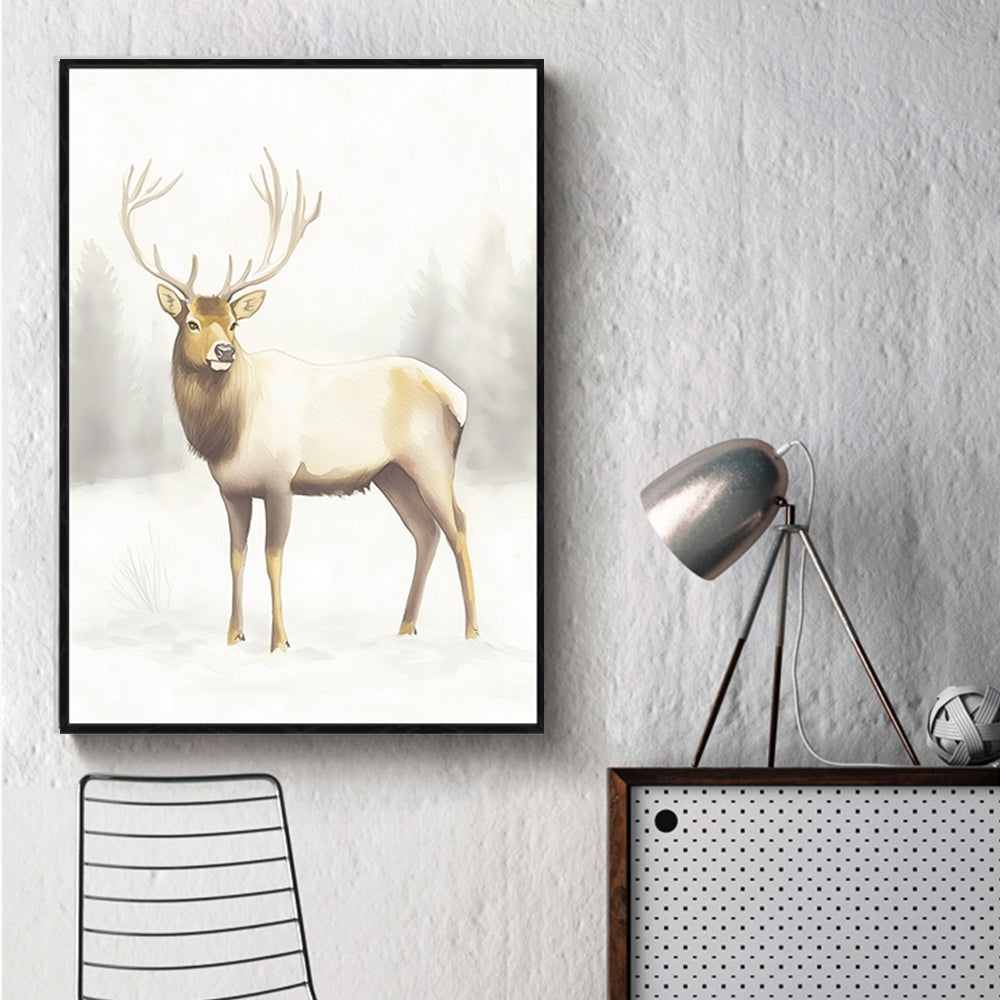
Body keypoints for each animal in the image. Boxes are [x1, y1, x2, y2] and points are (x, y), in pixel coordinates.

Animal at [120, 151, 478, 651]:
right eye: (191, 322)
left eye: (234, 324)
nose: (224, 352)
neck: (228, 433)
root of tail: (459, 397)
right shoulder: (231, 490)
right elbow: (236, 555)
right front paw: (233, 637)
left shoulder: (278, 479)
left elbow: (274, 556)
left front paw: (279, 642)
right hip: (392, 474)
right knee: (425, 532)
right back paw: (405, 629)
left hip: (430, 459)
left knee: (457, 525)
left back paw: (471, 632)